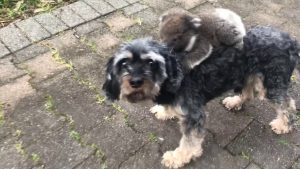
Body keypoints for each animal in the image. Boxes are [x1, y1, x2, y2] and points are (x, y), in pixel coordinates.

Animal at [102, 26, 300, 168]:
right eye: (124, 63)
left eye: (151, 62)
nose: (135, 81)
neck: (175, 72)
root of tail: (290, 41)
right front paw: (165, 111)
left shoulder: (194, 114)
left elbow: (189, 142)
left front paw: (178, 157)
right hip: (249, 74)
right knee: (249, 92)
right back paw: (235, 101)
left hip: (272, 82)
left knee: (287, 104)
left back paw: (283, 125)